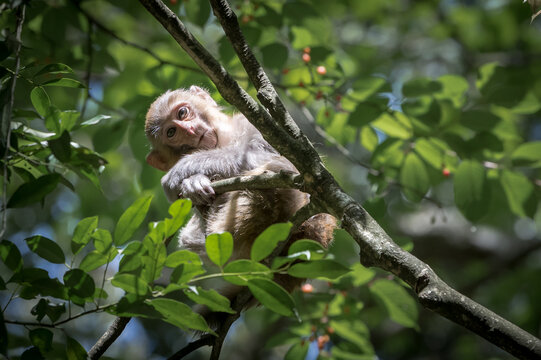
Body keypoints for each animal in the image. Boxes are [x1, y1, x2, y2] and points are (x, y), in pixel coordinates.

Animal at [146, 84, 336, 296]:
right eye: (171, 132)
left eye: (182, 113)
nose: (190, 130)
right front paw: (194, 183)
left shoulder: (256, 124)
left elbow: (273, 157)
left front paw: (183, 169)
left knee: (275, 171)